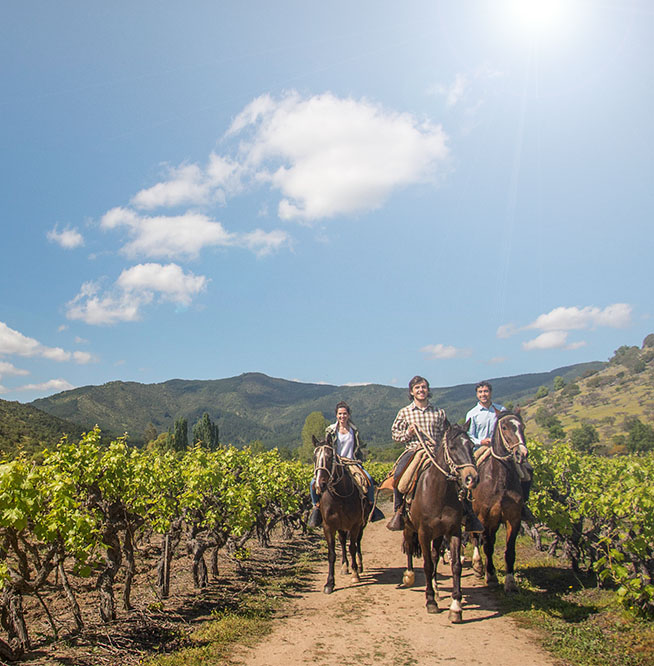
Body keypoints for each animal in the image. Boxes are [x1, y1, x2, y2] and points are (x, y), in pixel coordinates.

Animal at [312, 434, 368, 592]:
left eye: (330, 456)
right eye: (314, 457)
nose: (319, 485)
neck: (340, 496)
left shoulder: (355, 524)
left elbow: (352, 547)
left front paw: (355, 574)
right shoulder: (328, 526)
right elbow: (332, 554)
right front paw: (329, 583)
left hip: (362, 523)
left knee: (357, 542)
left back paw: (359, 566)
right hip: (341, 526)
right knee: (342, 542)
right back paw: (344, 566)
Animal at [402, 422, 480, 620]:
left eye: (471, 446)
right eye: (452, 448)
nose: (472, 478)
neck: (439, 493)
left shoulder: (453, 530)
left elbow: (456, 566)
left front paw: (456, 606)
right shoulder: (423, 533)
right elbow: (427, 565)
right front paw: (430, 601)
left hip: (438, 534)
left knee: (436, 554)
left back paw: (437, 589)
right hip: (408, 527)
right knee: (410, 548)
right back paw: (410, 575)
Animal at [468, 410, 532, 592]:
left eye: (522, 426)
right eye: (504, 427)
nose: (522, 454)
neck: (500, 480)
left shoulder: (513, 519)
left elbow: (509, 551)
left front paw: (510, 582)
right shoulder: (484, 518)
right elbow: (487, 546)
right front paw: (491, 576)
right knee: (475, 538)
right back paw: (478, 566)